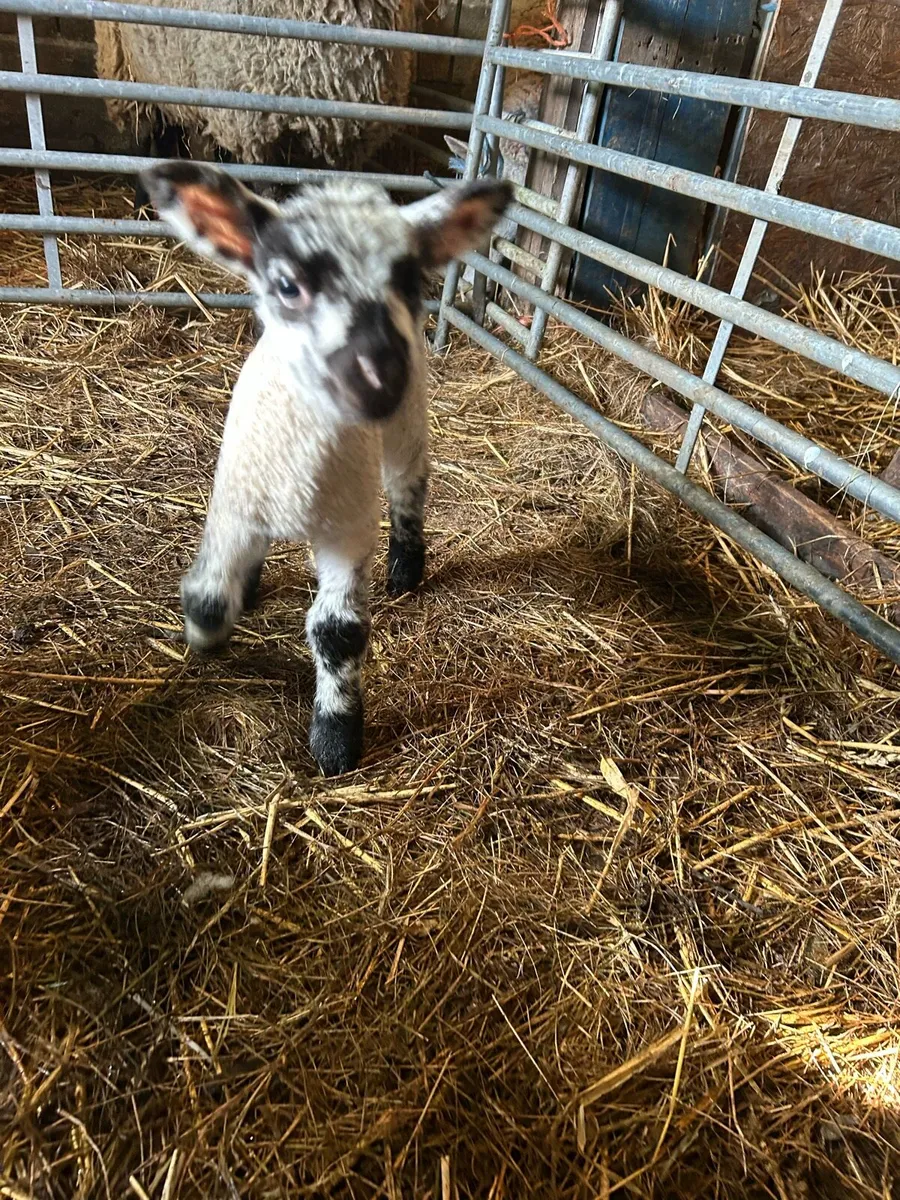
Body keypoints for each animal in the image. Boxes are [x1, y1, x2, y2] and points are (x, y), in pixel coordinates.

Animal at [141, 161, 511, 776]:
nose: (379, 376)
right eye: (287, 285)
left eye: (410, 282)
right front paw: (208, 637)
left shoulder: (348, 531)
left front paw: (336, 739)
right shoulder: (234, 505)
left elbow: (339, 631)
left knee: (408, 482)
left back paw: (406, 566)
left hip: (408, 420)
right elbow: (207, 598)